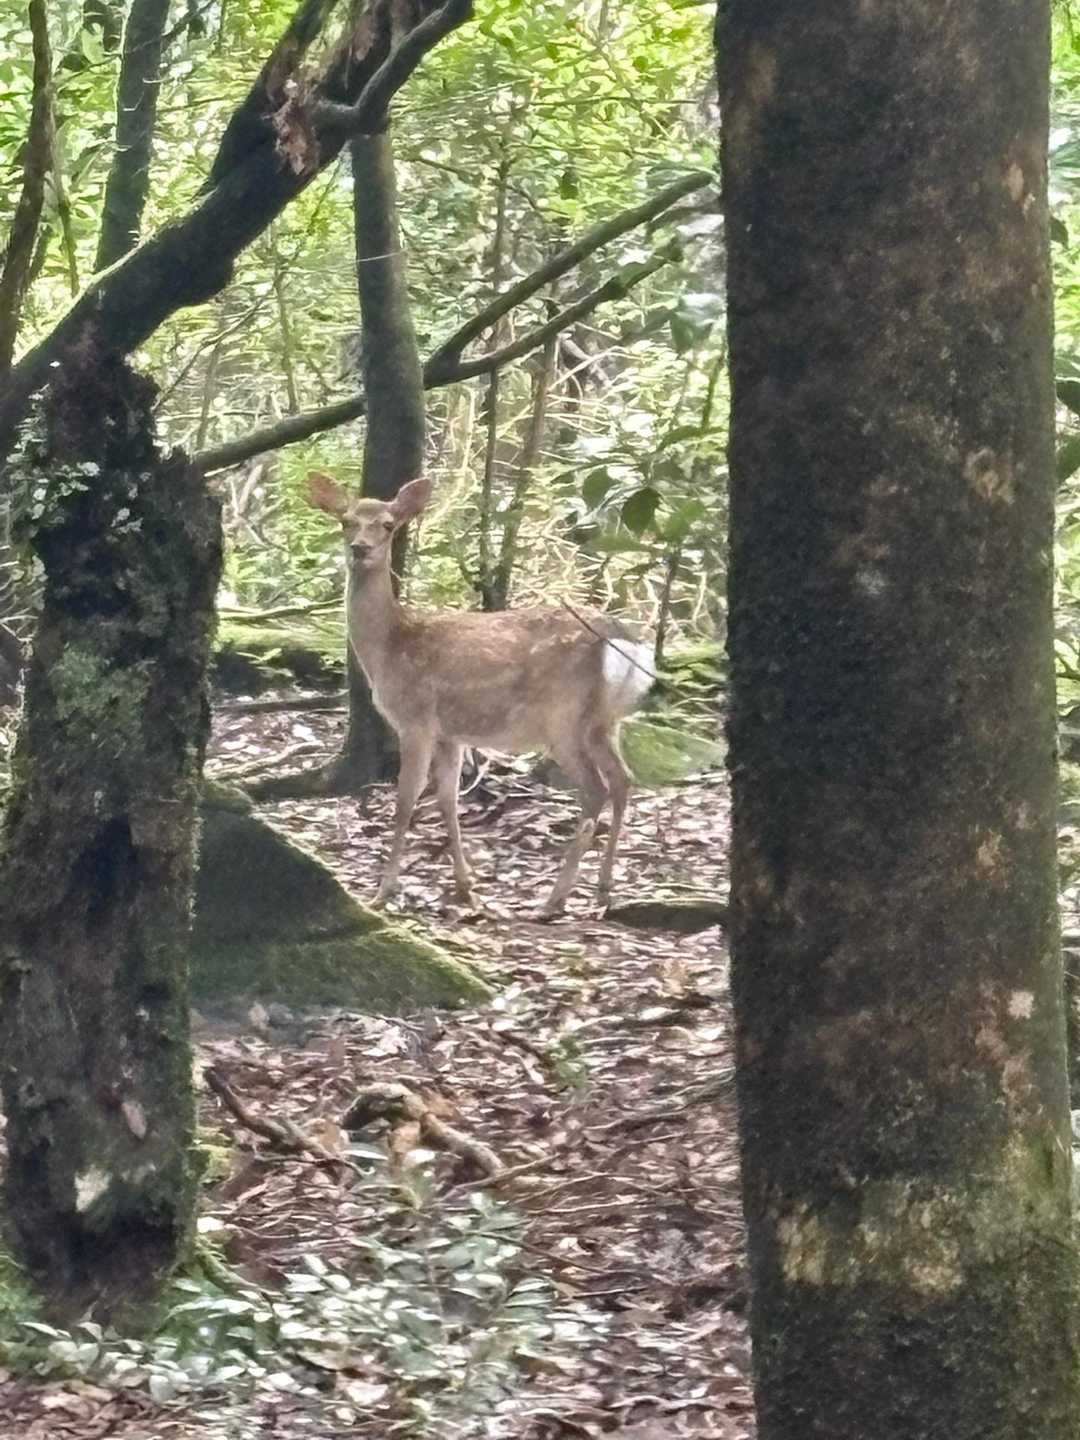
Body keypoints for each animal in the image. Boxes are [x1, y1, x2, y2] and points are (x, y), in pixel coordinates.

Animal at [307, 470, 655, 918]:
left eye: (387, 525)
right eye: (346, 521)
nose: (360, 549)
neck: (389, 648)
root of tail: (625, 641)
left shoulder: (416, 719)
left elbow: (404, 804)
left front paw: (383, 892)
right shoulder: (451, 734)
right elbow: (448, 802)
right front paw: (466, 889)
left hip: (562, 717)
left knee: (596, 788)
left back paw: (554, 899)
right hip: (603, 721)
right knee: (623, 779)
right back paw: (603, 889)